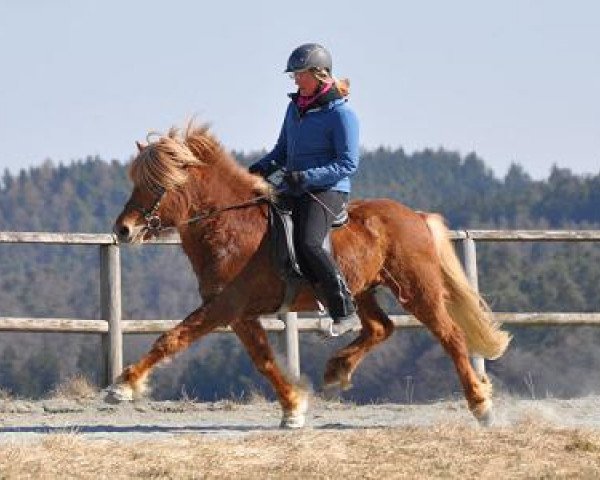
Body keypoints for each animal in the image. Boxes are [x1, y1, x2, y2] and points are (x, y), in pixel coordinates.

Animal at [109, 123, 510, 428]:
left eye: (158, 185)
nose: (123, 230)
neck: (230, 226)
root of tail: (416, 217)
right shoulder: (239, 313)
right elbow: (263, 359)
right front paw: (293, 408)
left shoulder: (225, 306)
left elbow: (172, 339)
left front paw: (124, 385)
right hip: (359, 290)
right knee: (380, 328)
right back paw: (336, 370)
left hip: (417, 289)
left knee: (450, 335)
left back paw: (480, 405)